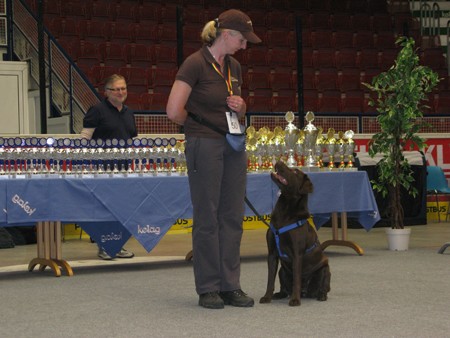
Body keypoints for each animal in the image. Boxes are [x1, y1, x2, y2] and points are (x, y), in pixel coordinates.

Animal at [258, 161, 328, 306]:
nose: (278, 161)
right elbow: (270, 280)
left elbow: (297, 278)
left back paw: (320, 295)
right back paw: (278, 295)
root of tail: (305, 292)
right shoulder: (272, 254)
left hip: (325, 268)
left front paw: (295, 300)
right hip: (282, 270)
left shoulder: (297, 253)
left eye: (296, 172)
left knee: (324, 286)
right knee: (284, 287)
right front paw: (267, 297)